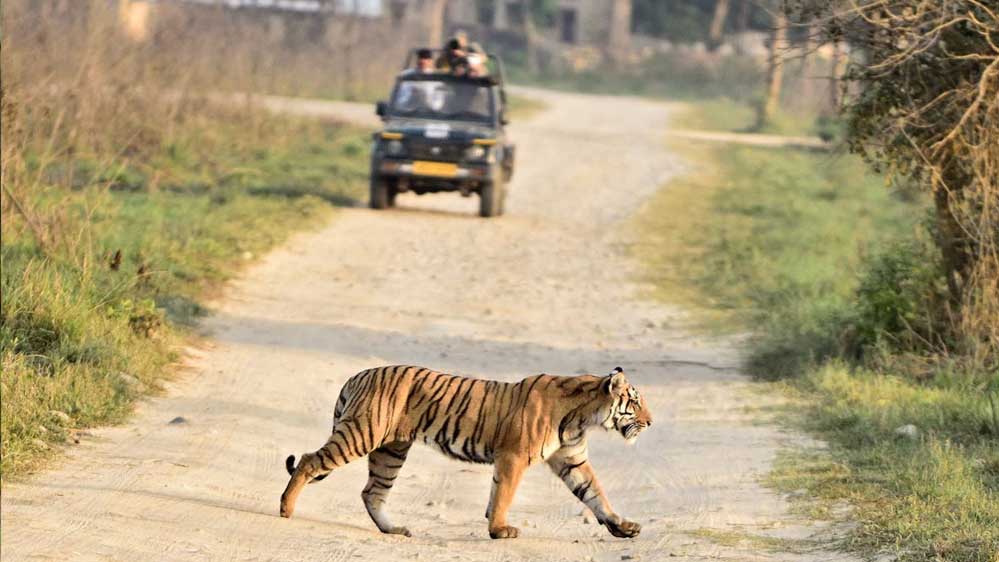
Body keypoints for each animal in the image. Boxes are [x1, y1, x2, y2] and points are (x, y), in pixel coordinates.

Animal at [280, 365, 652, 540]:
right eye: (634, 403)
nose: (650, 422)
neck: (584, 416)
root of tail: (359, 375)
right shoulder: (513, 457)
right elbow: (503, 495)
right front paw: (499, 530)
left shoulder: (572, 460)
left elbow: (595, 494)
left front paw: (623, 527)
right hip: (361, 434)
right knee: (309, 461)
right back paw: (286, 509)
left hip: (390, 450)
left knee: (372, 492)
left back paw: (394, 530)